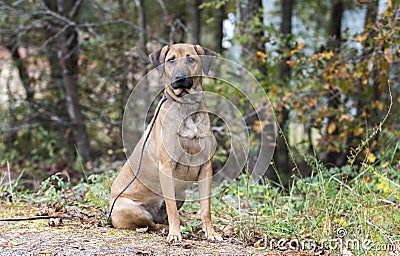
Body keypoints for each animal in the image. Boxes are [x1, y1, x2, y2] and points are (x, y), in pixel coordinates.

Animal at [109, 43, 222, 242]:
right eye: (171, 60)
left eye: (191, 59)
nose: (180, 78)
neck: (186, 106)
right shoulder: (166, 168)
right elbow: (171, 209)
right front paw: (174, 234)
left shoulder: (206, 167)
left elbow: (205, 208)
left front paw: (211, 233)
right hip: (130, 208)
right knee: (152, 223)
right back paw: (167, 229)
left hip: (180, 195)